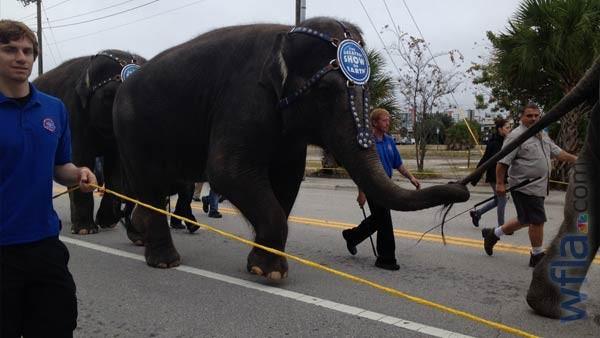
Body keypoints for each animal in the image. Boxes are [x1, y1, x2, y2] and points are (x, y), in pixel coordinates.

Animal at [34, 49, 146, 235]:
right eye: (109, 96)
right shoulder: (74, 113)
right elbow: (80, 159)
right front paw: (85, 230)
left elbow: (116, 167)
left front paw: (107, 222)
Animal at [112, 17, 468, 278]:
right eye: (325, 91)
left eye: (367, 91)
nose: (462, 188)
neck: (283, 36)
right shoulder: (245, 98)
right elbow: (227, 171)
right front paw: (270, 273)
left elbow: (287, 180)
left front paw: (263, 268)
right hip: (131, 132)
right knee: (149, 185)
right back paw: (164, 261)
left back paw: (141, 235)